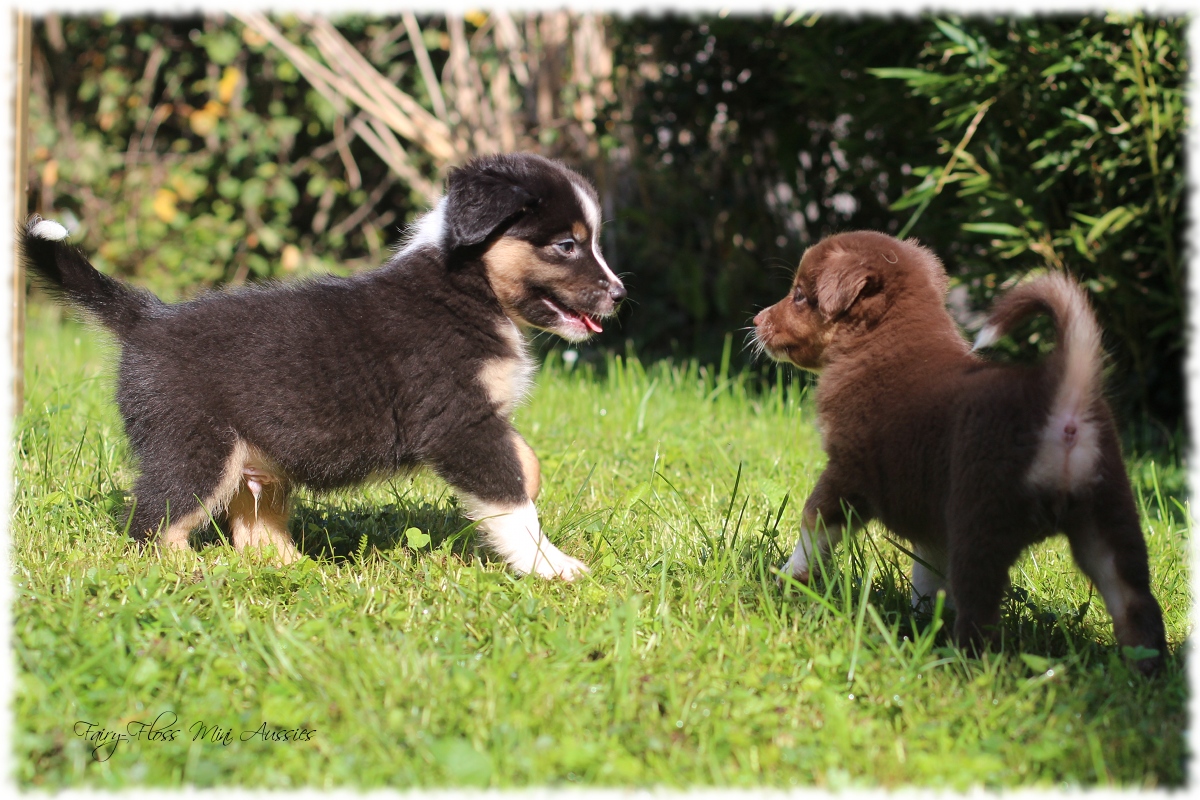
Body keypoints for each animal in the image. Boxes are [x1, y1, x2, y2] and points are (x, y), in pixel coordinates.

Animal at [21, 153, 628, 578]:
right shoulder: (459, 424)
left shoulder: (482, 420)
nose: (620, 295)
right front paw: (551, 567)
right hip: (194, 448)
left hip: (253, 459)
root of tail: (147, 317)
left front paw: (535, 487)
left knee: (253, 530)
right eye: (567, 245)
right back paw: (187, 571)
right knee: (152, 522)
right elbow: (511, 502)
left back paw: (297, 571)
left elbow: (521, 464)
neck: (465, 287)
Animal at [753, 231, 1166, 676]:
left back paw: (958, 666)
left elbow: (811, 527)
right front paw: (919, 619)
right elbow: (926, 575)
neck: (880, 340)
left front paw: (783, 581)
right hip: (1108, 521)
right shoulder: (931, 517)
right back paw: (1145, 674)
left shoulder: (846, 473)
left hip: (980, 522)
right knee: (1136, 603)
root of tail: (1063, 403)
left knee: (979, 613)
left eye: (798, 295)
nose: (757, 320)